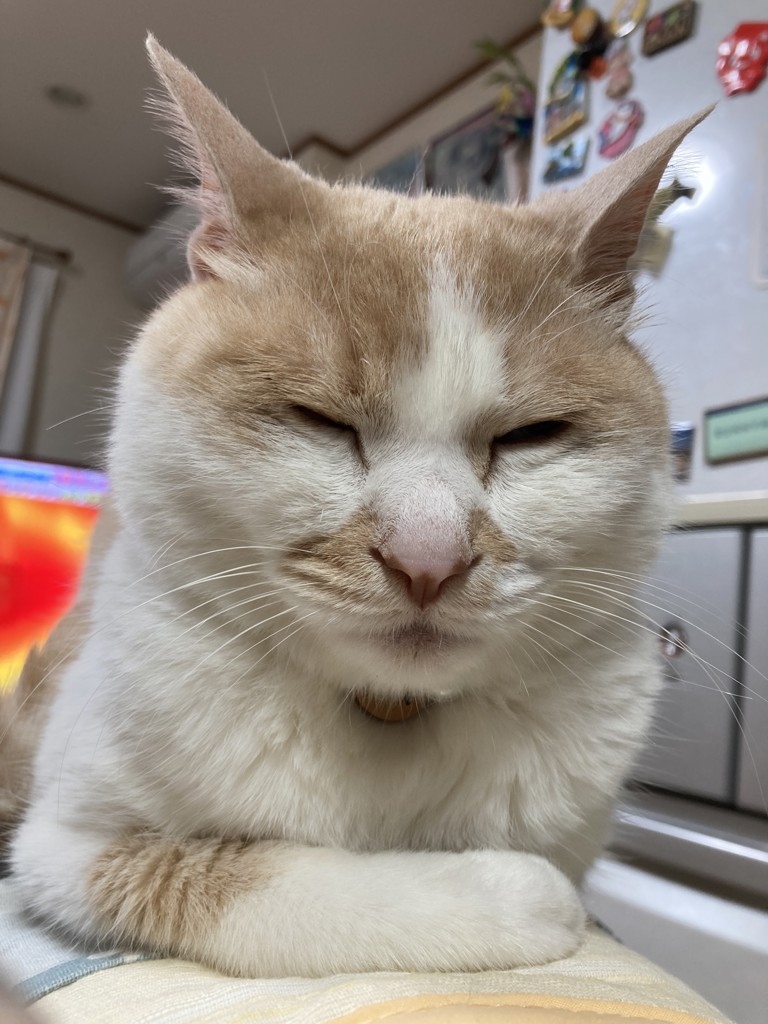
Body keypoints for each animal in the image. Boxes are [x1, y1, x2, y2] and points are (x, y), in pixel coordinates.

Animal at [4, 37, 709, 978]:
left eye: (531, 436)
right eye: (321, 421)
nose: (429, 560)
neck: (390, 716)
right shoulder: (65, 847)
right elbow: (251, 870)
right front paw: (500, 894)